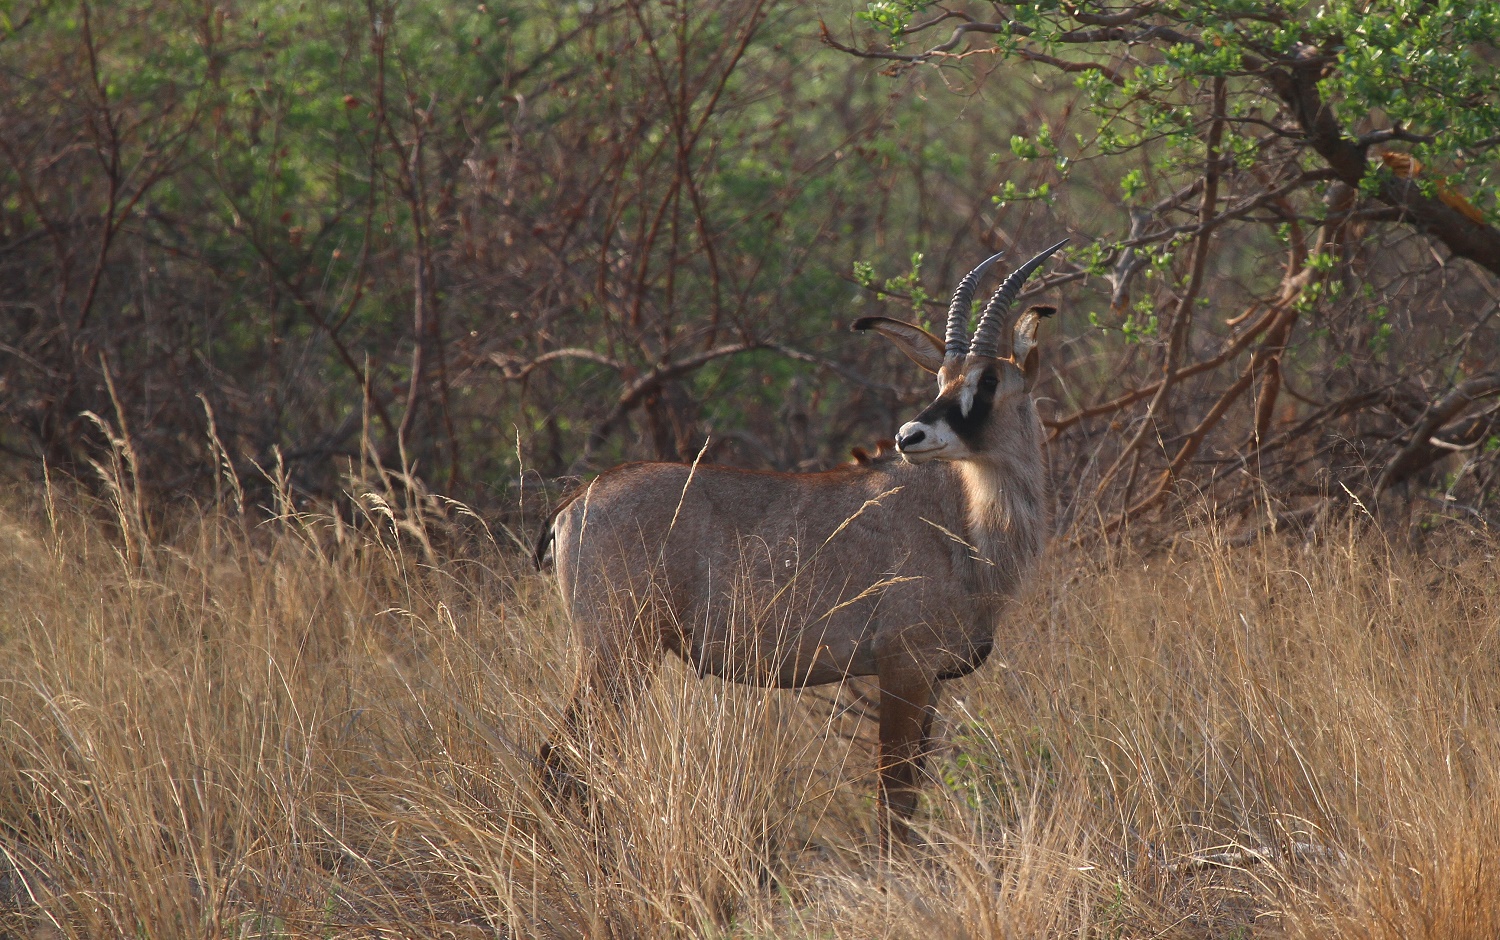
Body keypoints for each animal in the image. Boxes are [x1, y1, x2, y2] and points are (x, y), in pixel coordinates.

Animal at [537, 242, 1068, 845]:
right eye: (942, 379)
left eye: (989, 381)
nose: (910, 437)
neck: (964, 524)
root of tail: (574, 505)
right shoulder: (903, 667)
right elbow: (894, 801)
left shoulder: (931, 679)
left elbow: (909, 796)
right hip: (616, 652)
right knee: (560, 760)